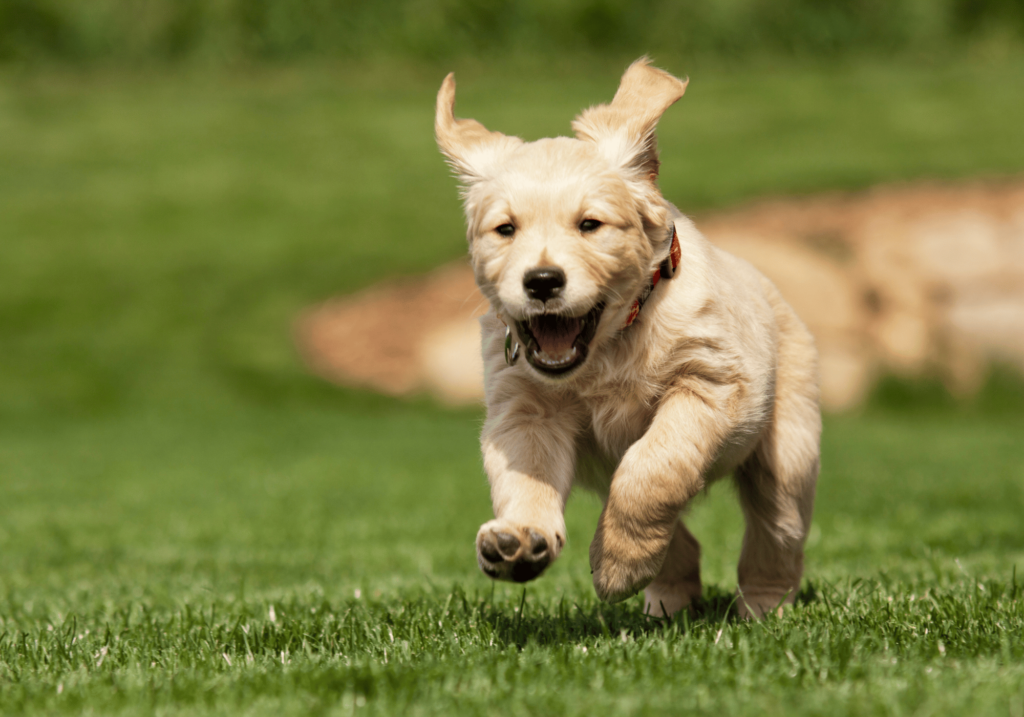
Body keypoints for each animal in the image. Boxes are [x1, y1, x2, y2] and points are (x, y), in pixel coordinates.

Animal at [436, 58, 819, 618]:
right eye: (505, 229)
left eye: (590, 224)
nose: (542, 281)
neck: (610, 346)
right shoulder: (525, 411)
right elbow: (527, 477)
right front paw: (521, 539)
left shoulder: (711, 384)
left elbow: (653, 467)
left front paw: (618, 566)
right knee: (682, 540)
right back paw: (667, 599)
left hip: (787, 449)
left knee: (777, 531)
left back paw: (762, 608)